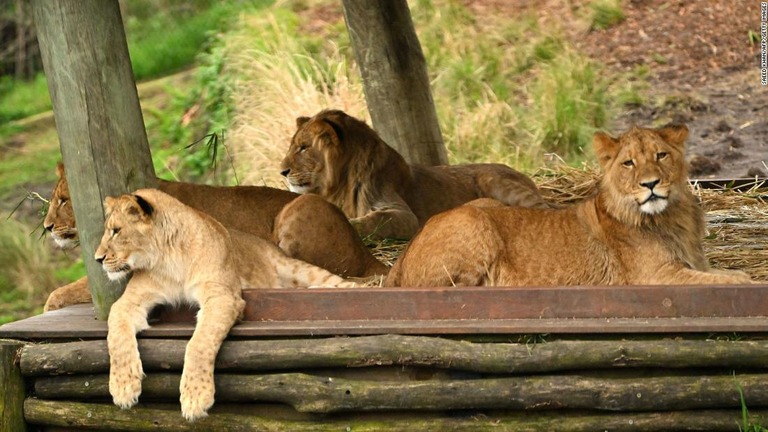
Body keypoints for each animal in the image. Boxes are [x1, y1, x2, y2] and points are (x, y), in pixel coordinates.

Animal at [98, 187, 356, 420]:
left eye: (116, 231)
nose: (98, 259)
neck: (167, 259)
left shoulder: (222, 296)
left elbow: (199, 343)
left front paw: (195, 397)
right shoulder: (131, 300)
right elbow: (116, 334)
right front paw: (123, 387)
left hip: (296, 268)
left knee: (341, 282)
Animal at [280, 109, 548, 240]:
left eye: (303, 147)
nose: (282, 171)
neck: (341, 183)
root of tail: (520, 172)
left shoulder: (405, 216)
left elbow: (374, 220)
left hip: (498, 182)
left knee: (546, 209)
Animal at [384, 124, 752, 286]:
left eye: (661, 155)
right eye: (629, 163)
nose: (650, 184)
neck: (672, 217)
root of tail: (401, 257)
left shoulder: (694, 266)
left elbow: (736, 273)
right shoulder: (656, 277)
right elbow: (737, 282)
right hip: (473, 223)